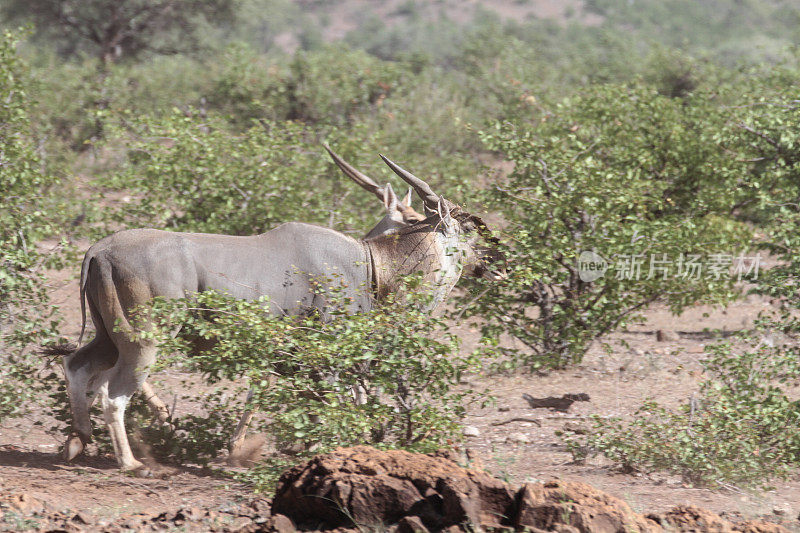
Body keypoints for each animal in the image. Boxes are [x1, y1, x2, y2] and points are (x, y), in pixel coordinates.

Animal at [62, 148, 496, 472]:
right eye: (469, 229)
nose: (495, 262)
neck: (371, 263)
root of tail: (99, 250)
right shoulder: (328, 348)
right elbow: (333, 400)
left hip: (109, 336)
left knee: (78, 366)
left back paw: (77, 441)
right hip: (147, 340)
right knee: (114, 393)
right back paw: (131, 462)